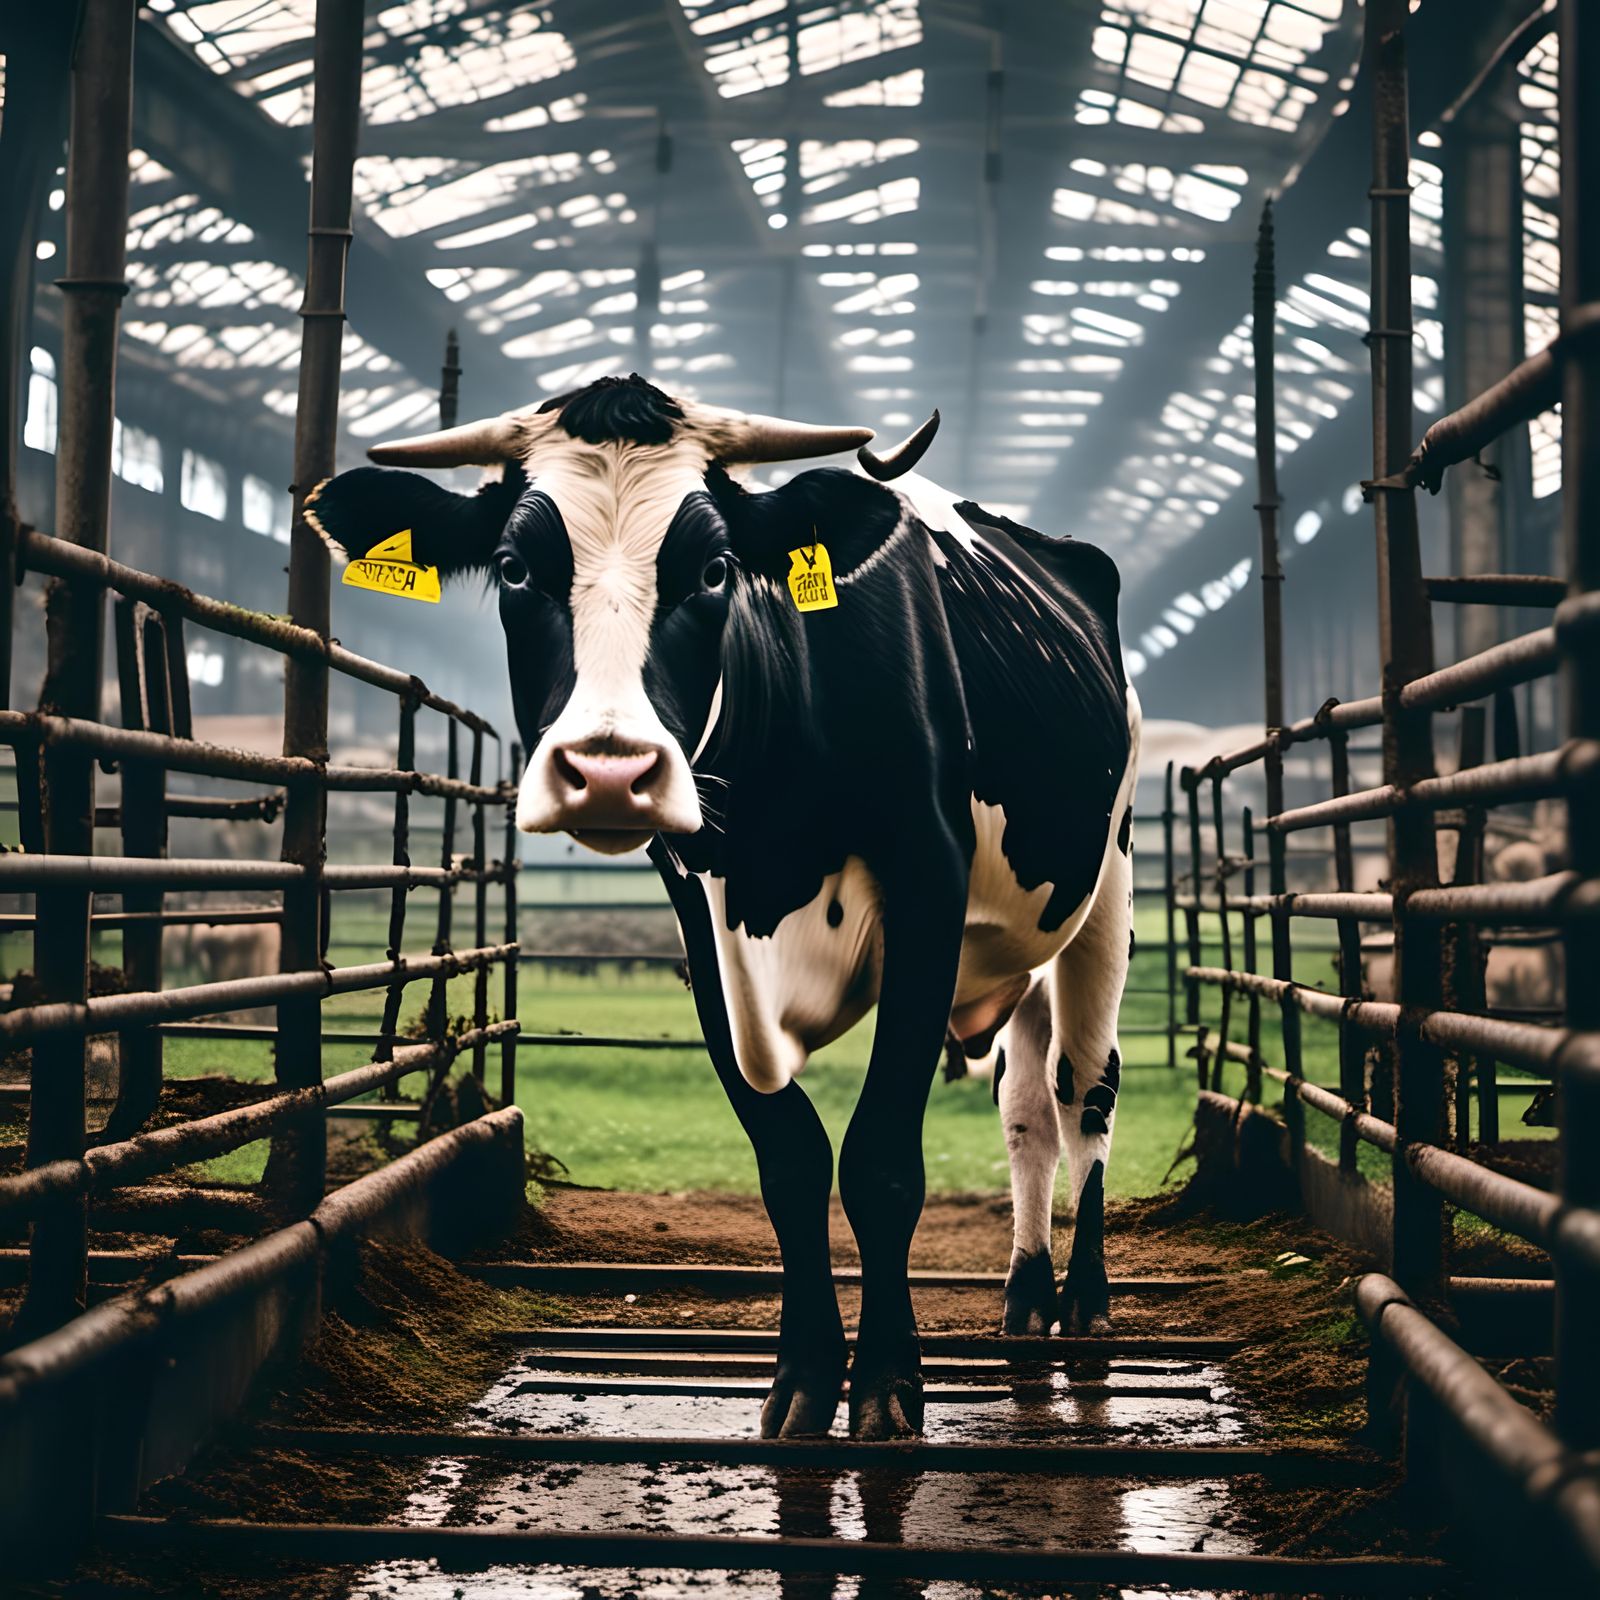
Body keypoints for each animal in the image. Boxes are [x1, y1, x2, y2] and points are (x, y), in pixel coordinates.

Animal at [307, 375, 1139, 1440]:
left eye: (712, 570)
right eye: (514, 569)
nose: (608, 771)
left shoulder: (929, 885)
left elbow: (879, 1160)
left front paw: (886, 1389)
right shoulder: (701, 921)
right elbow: (789, 1161)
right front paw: (804, 1380)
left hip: (1104, 895)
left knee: (1084, 1095)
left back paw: (1084, 1304)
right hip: (1015, 951)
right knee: (1025, 1107)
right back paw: (1026, 1296)